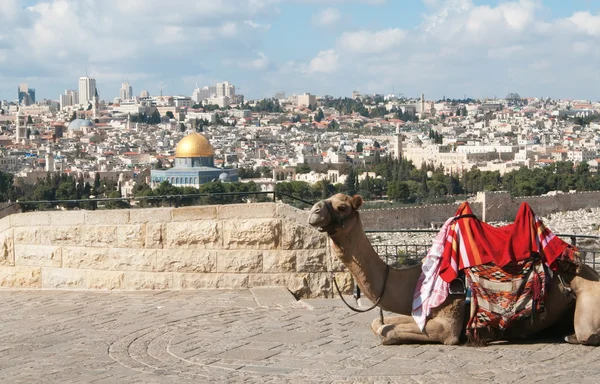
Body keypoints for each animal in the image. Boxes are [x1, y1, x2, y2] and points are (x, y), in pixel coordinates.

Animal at [312, 194, 576, 346]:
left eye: (342, 207)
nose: (314, 211)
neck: (415, 279)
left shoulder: (448, 325)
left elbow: (388, 333)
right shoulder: (419, 312)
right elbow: (378, 324)